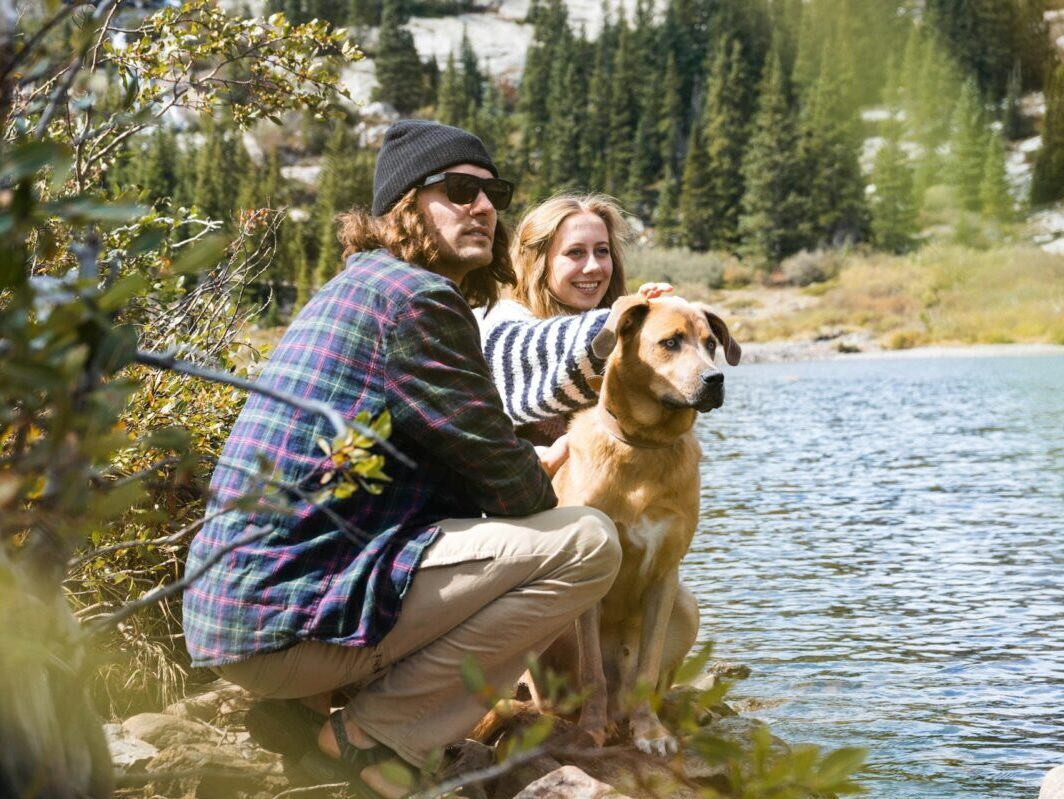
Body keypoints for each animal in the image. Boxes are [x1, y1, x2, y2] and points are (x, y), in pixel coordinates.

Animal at [540, 293, 740, 757]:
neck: (644, 449)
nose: (715, 379)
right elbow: (592, 671)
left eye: (711, 344)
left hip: (686, 605)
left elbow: (647, 670)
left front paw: (649, 732)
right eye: (670, 342)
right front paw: (590, 730)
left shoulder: (665, 576)